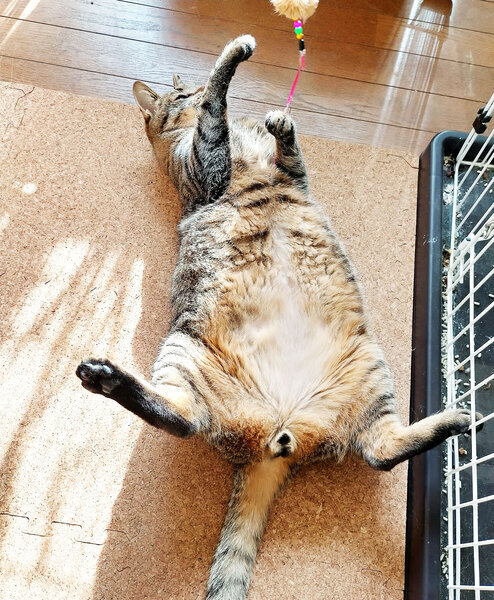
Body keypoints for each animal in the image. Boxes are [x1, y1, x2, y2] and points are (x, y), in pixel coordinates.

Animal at [76, 35, 481, 600]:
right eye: (179, 92)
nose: (191, 88)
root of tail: (277, 437)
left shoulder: (293, 175)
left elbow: (287, 153)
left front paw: (278, 123)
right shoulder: (205, 168)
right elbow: (217, 113)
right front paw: (231, 63)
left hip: (367, 364)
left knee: (379, 449)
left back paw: (453, 421)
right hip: (186, 350)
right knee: (181, 418)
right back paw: (106, 378)